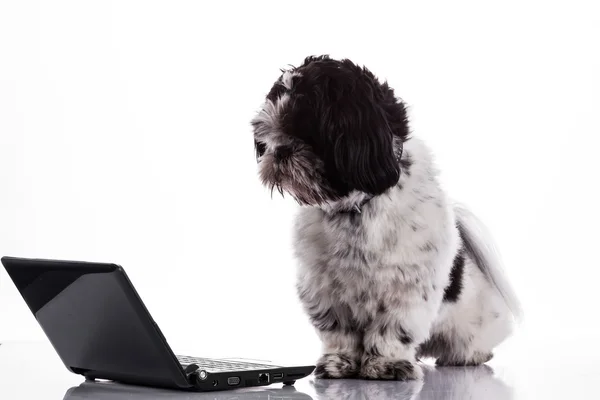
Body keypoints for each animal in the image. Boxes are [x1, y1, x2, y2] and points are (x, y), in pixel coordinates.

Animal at [250, 55, 520, 382]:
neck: (356, 209)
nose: (279, 151)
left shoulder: (406, 288)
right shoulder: (324, 289)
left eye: (307, 128)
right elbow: (338, 332)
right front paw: (338, 362)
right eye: (267, 136)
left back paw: (468, 355)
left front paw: (386, 365)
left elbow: (393, 329)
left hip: (472, 321)